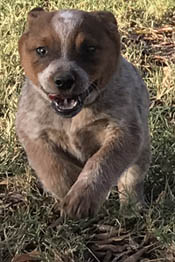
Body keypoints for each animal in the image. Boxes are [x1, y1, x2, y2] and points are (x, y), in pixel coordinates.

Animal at [15, 7, 151, 218]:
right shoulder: (32, 132)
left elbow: (102, 160)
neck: (72, 119)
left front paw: (81, 198)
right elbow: (53, 167)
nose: (64, 80)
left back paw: (132, 208)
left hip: (141, 152)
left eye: (89, 49)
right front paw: (67, 191)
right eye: (41, 50)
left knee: (131, 179)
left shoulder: (125, 130)